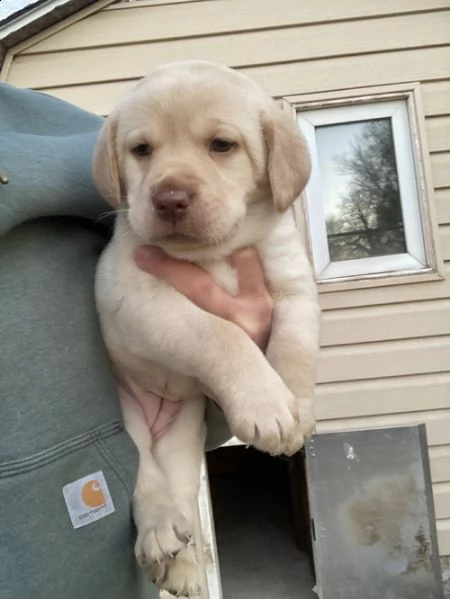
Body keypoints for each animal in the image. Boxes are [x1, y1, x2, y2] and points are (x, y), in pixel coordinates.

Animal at [93, 61, 320, 596]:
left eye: (221, 145)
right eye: (142, 150)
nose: (169, 198)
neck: (215, 252)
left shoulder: (294, 289)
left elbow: (295, 349)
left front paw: (295, 409)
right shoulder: (139, 299)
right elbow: (221, 335)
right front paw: (267, 406)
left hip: (184, 428)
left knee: (181, 499)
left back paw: (183, 566)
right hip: (128, 426)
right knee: (149, 484)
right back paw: (160, 537)